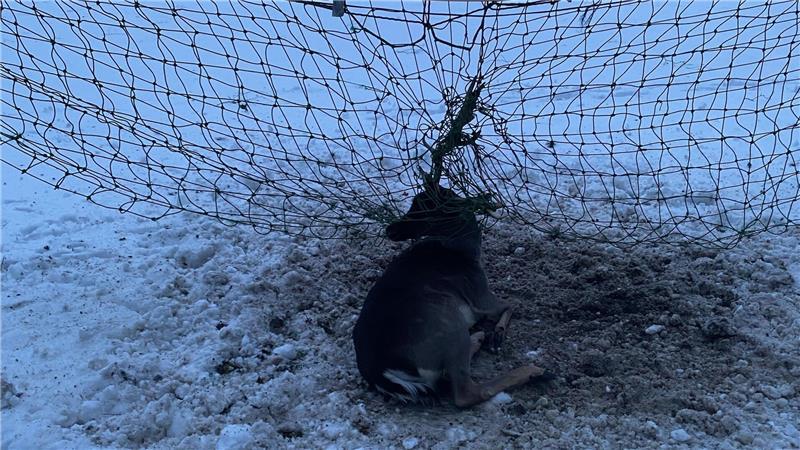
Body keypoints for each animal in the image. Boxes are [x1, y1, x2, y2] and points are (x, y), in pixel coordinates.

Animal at [352, 184, 549, 407]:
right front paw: (498, 335)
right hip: (449, 324)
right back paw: (533, 370)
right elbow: (512, 303)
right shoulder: (479, 293)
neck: (466, 249)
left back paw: (479, 338)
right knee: (465, 393)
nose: (390, 229)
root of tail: (382, 373)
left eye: (423, 208)